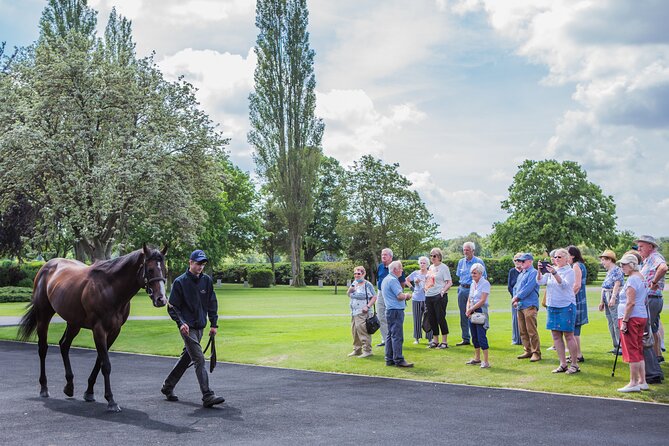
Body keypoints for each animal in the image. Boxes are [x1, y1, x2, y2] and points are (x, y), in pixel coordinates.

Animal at [18, 244, 167, 412]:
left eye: (164, 269)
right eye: (150, 269)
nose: (161, 299)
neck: (110, 289)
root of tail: (46, 266)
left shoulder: (114, 331)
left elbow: (99, 361)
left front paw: (89, 392)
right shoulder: (99, 329)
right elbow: (106, 364)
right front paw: (111, 400)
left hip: (74, 322)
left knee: (64, 345)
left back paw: (69, 386)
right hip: (44, 315)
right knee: (43, 349)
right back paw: (44, 388)